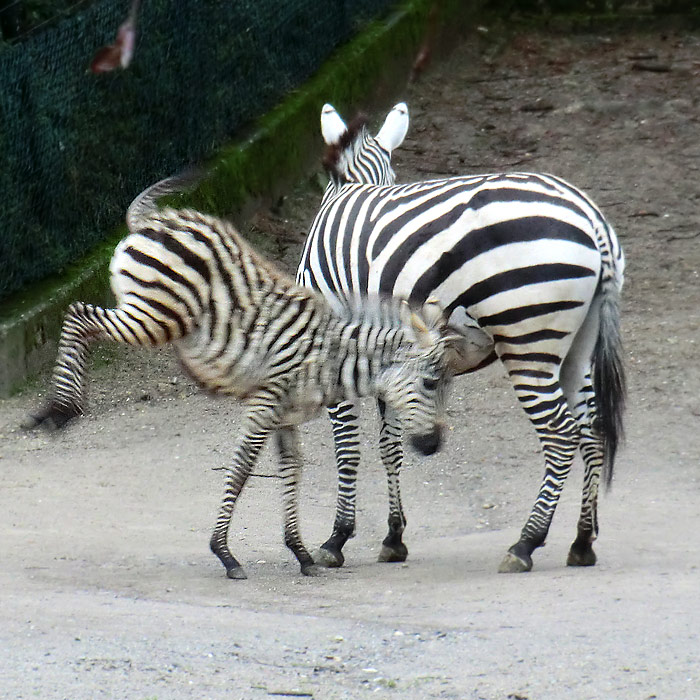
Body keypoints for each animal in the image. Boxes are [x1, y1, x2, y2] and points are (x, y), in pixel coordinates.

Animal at [26, 174, 460, 580]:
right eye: (430, 384)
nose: (435, 445)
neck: (333, 356)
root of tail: (160, 220)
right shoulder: (263, 404)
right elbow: (241, 469)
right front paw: (224, 552)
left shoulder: (285, 417)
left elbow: (291, 472)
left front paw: (300, 552)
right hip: (158, 316)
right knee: (79, 316)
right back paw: (60, 408)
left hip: (153, 312)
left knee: (82, 320)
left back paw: (61, 407)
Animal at [298, 102, 628, 576]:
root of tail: (592, 218)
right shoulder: (385, 356)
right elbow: (390, 444)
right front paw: (393, 537)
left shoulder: (336, 349)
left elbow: (348, 447)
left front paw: (338, 537)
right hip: (578, 342)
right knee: (591, 428)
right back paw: (582, 541)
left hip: (527, 337)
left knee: (561, 434)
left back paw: (525, 543)